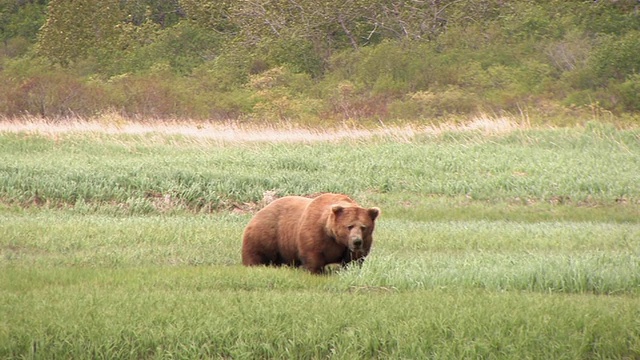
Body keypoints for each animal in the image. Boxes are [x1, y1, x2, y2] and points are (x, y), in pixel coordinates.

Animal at [241, 194, 380, 272]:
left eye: (363, 227)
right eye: (349, 226)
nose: (356, 241)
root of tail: (261, 210)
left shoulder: (359, 243)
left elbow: (354, 260)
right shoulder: (315, 232)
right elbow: (312, 254)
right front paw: (317, 271)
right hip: (266, 234)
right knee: (255, 253)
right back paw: (254, 265)